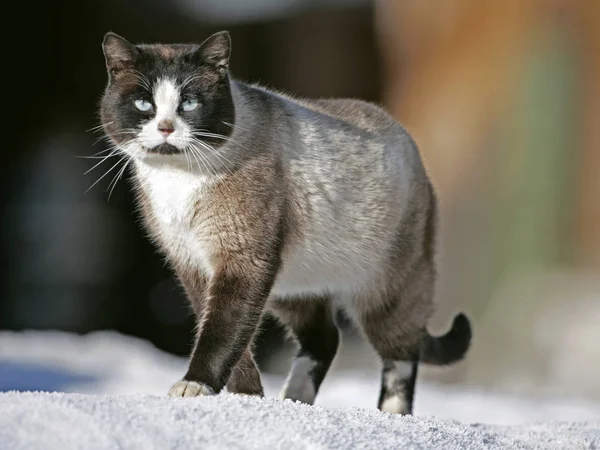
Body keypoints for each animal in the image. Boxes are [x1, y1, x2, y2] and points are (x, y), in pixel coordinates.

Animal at [99, 29, 474, 414]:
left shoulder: (242, 260)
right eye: (144, 104)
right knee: (326, 338)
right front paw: (246, 398)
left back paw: (391, 416)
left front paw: (198, 387)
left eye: (188, 104)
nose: (165, 128)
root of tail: (405, 136)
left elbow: (221, 333)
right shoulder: (193, 265)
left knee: (400, 354)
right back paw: (294, 401)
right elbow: (230, 340)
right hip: (295, 285)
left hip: (385, 291)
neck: (177, 179)